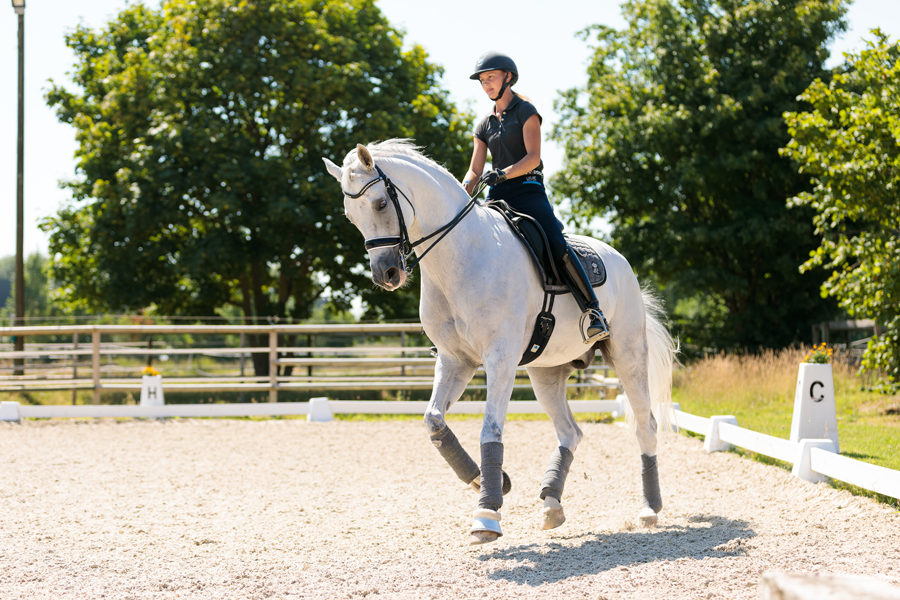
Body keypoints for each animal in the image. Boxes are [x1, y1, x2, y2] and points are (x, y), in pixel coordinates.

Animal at [324, 139, 676, 544]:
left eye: (381, 203)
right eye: (350, 215)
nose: (387, 274)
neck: (460, 256)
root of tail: (620, 260)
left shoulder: (500, 360)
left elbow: (490, 430)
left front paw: (487, 514)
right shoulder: (454, 361)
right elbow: (433, 421)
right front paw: (489, 482)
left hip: (628, 356)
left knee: (645, 425)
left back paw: (649, 510)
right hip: (546, 372)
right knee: (570, 432)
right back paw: (551, 506)